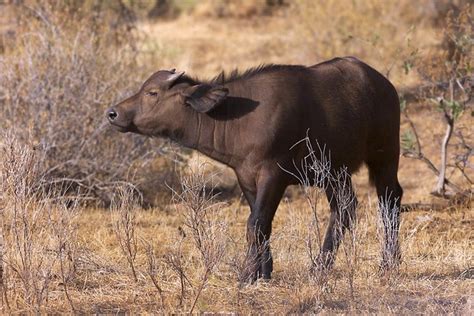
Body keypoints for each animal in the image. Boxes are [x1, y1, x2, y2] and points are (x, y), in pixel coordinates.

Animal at [107, 56, 404, 282]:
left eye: (152, 93)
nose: (113, 113)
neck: (239, 117)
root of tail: (385, 85)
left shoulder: (273, 175)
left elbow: (256, 224)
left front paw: (248, 274)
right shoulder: (246, 177)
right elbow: (261, 223)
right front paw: (264, 271)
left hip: (385, 157)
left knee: (390, 200)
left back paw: (389, 263)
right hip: (335, 173)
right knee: (344, 208)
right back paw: (320, 267)